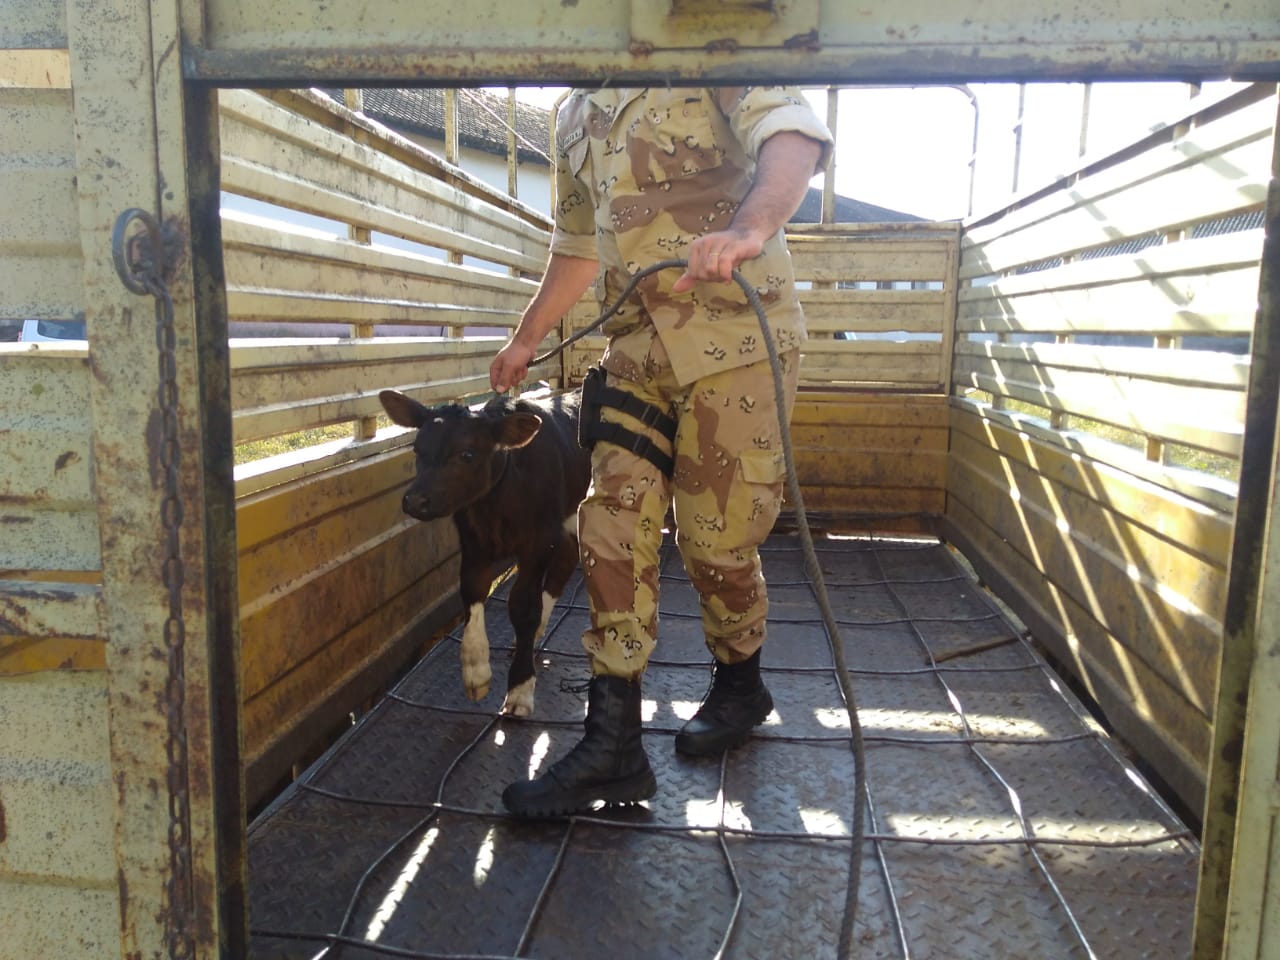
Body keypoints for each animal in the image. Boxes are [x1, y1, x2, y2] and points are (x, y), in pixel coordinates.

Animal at [378, 389, 591, 716]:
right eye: (417, 448)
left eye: (467, 454)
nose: (415, 500)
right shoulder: (472, 540)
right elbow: (473, 590)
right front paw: (475, 668)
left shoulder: (540, 542)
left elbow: (523, 606)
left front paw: (520, 687)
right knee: (566, 560)